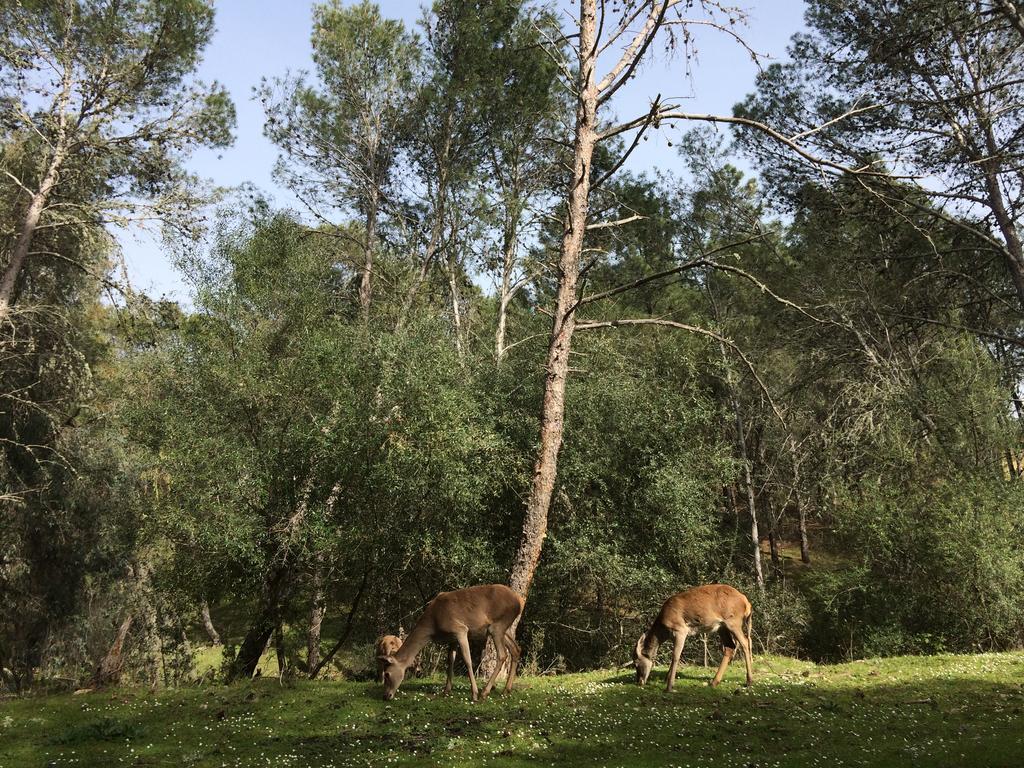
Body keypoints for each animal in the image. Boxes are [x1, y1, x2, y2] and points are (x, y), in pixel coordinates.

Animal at [376, 581, 524, 704]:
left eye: (387, 674)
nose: (385, 696)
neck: (433, 625)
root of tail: (520, 601)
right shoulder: (452, 638)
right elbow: (450, 661)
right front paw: (446, 690)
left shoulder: (460, 629)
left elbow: (467, 660)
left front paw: (474, 694)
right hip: (504, 629)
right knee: (516, 649)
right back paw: (506, 690)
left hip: (497, 625)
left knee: (503, 654)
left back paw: (485, 692)